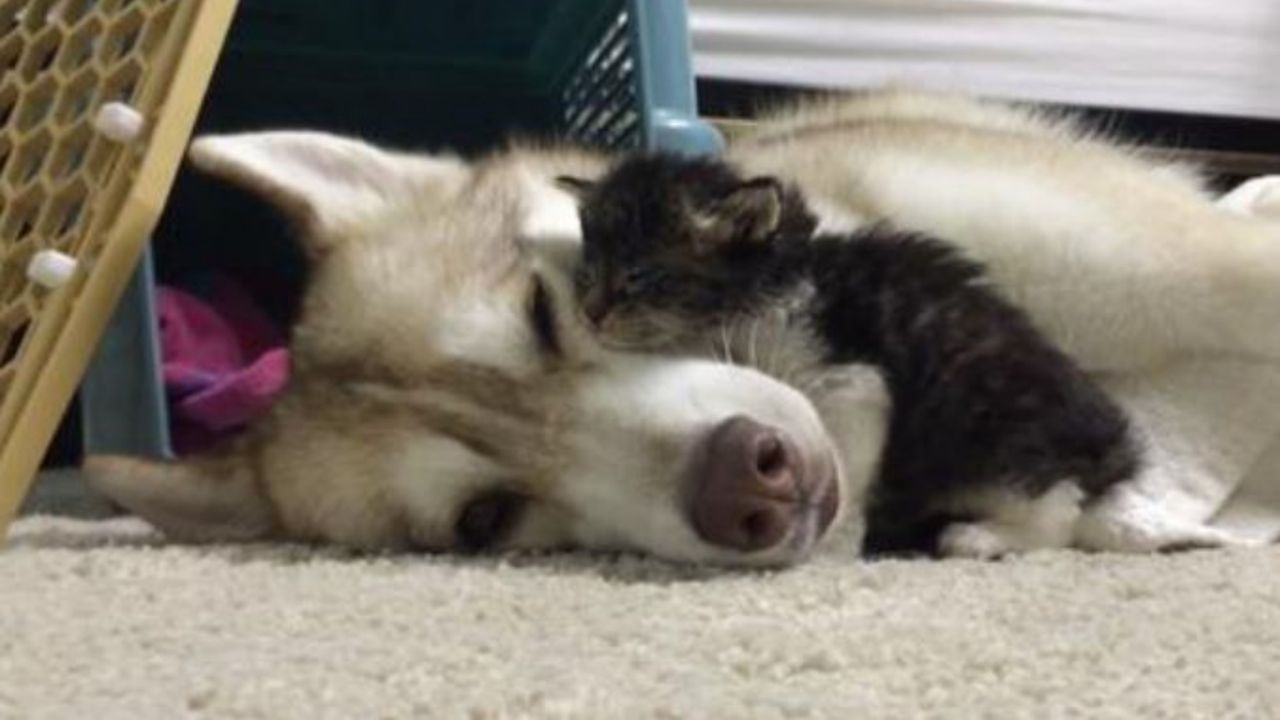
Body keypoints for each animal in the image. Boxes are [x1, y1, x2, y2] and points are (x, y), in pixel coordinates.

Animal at [565, 154, 1136, 550]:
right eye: (588, 273)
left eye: (639, 278)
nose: (591, 314)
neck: (776, 277)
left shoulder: (852, 376)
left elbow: (843, 451)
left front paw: (832, 537)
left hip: (984, 429)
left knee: (1057, 508)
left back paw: (981, 538)